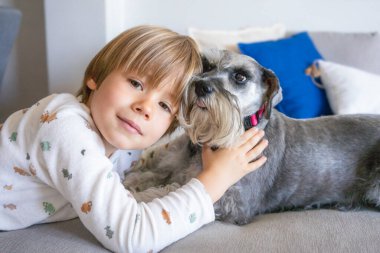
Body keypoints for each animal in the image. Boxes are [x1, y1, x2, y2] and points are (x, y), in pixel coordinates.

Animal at [124, 49, 380, 225]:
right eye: (206, 65)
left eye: (240, 77)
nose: (201, 87)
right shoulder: (170, 169)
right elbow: (150, 176)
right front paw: (131, 182)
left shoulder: (231, 202)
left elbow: (169, 191)